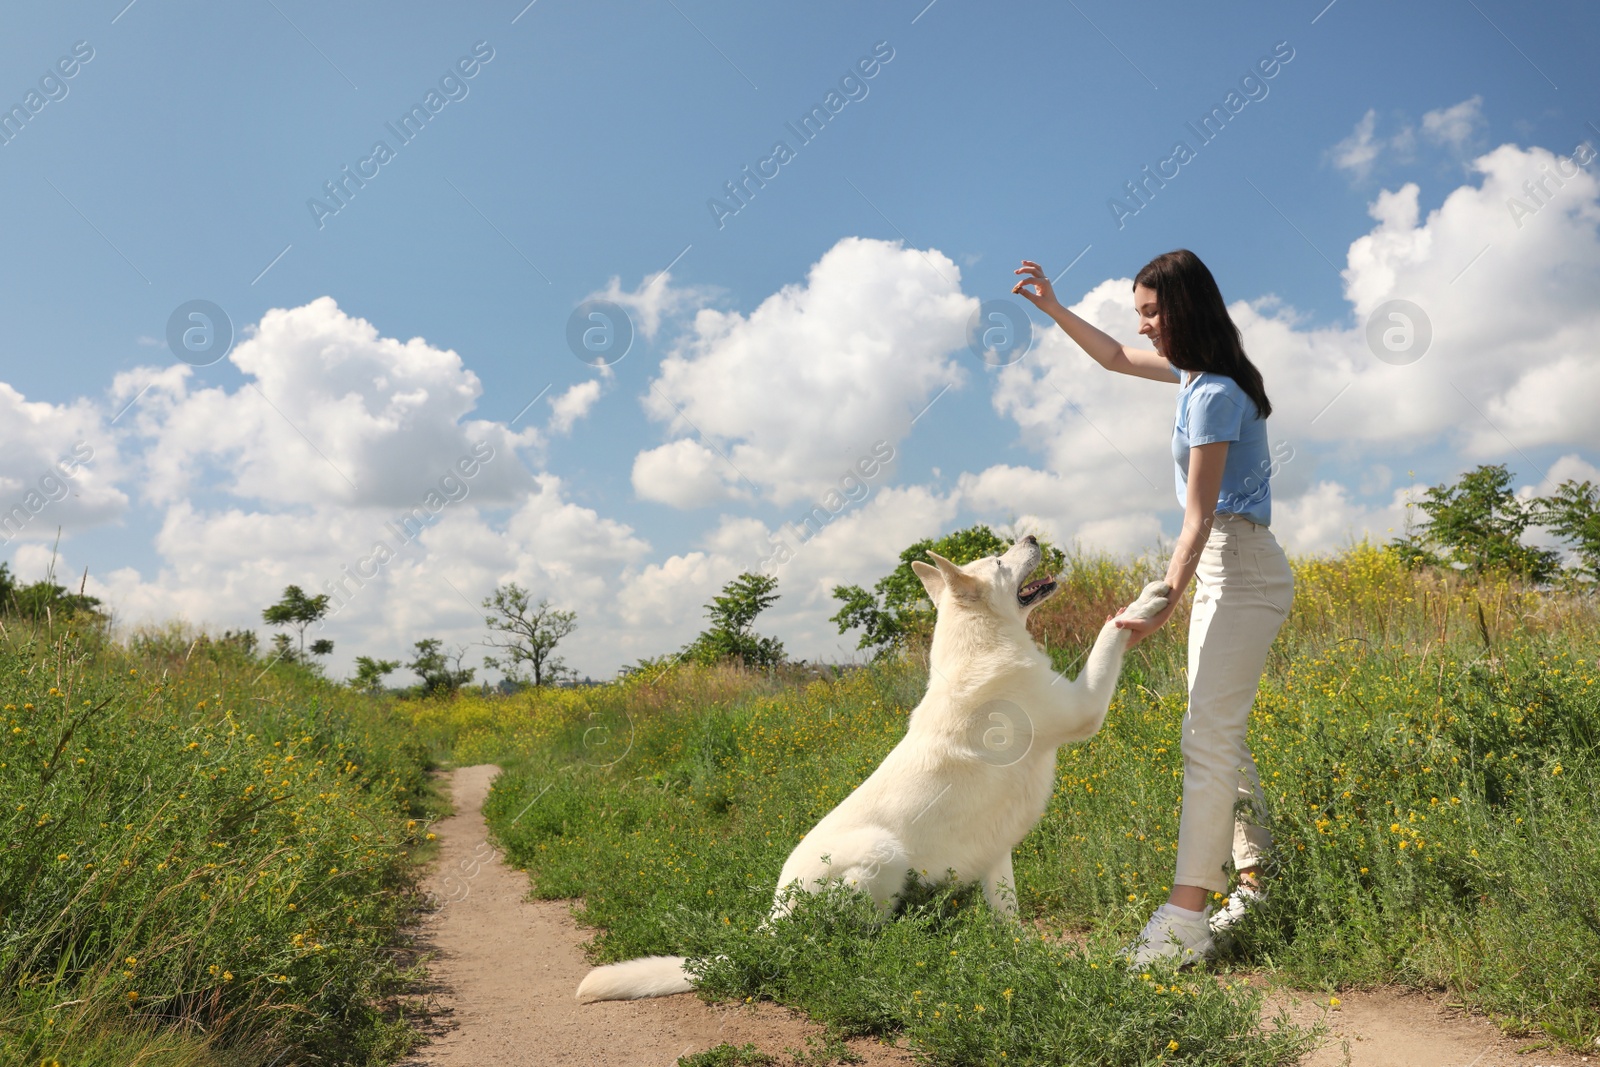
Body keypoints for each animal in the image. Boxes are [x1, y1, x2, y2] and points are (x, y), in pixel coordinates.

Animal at [576, 537, 1164, 1004]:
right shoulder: (1084, 707)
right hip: (882, 856)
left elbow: (1010, 918)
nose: (1032, 537)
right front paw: (1146, 601)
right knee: (855, 943)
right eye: (1001, 560)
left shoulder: (997, 856)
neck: (980, 645)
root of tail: (772, 920)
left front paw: (1021, 956)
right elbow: (1109, 635)